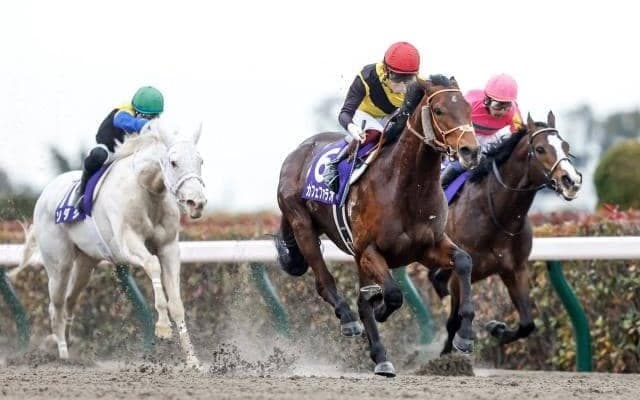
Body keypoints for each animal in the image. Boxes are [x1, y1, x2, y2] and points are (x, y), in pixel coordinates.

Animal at [14, 120, 207, 366]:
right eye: (174, 163)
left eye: (200, 161)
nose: (196, 202)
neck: (145, 188)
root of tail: (45, 193)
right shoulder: (126, 243)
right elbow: (152, 265)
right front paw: (163, 327)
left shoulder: (169, 247)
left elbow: (177, 303)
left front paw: (193, 360)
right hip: (59, 265)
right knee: (55, 306)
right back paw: (63, 355)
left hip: (85, 263)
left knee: (69, 301)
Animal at [275, 75, 481, 376]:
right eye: (439, 110)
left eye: (468, 108)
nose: (471, 151)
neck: (406, 188)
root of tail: (298, 152)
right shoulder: (369, 250)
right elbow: (393, 295)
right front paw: (381, 307)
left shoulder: (427, 247)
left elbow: (465, 261)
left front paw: (465, 336)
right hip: (302, 224)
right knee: (325, 281)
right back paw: (349, 319)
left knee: (362, 299)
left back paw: (381, 355)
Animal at [429, 111, 583, 354]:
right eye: (540, 149)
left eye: (565, 146)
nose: (572, 181)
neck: (497, 216)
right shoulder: (460, 274)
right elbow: (453, 321)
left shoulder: (514, 270)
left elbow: (527, 324)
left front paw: (497, 329)